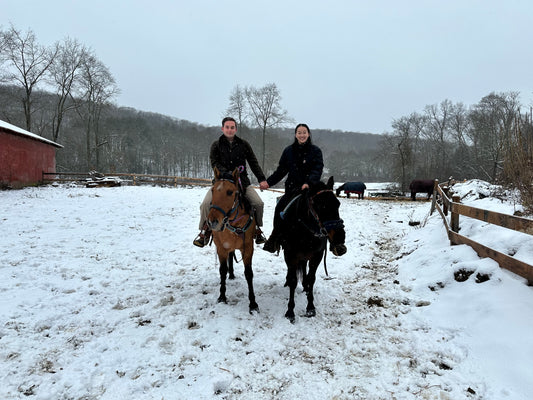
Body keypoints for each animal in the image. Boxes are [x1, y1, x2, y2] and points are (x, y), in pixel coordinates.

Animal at [207, 166, 258, 312]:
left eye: (230, 192)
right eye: (212, 190)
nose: (213, 222)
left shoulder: (248, 248)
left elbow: (249, 273)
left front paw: (253, 303)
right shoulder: (221, 248)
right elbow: (222, 270)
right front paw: (222, 297)